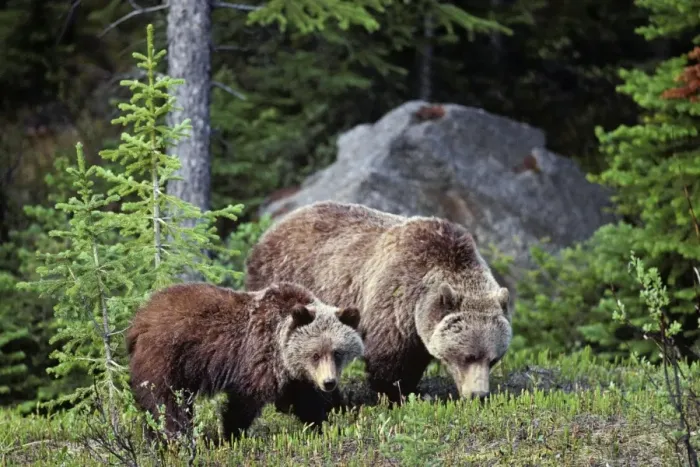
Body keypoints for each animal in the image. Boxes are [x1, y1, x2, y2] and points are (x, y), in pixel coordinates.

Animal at [125, 280, 364, 442]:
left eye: (337, 353)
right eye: (315, 354)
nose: (329, 383)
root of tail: (140, 317)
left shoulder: (295, 375)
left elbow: (306, 401)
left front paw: (323, 425)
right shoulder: (260, 357)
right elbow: (245, 400)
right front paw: (231, 435)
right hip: (165, 357)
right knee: (166, 402)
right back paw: (176, 438)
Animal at [244, 201, 512, 404]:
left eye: (493, 359)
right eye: (467, 356)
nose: (479, 395)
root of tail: (271, 229)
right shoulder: (395, 301)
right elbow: (390, 359)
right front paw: (398, 393)